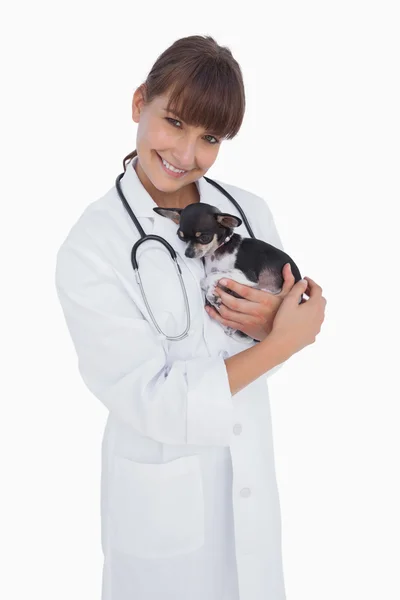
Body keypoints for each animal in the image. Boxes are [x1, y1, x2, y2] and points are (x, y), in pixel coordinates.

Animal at [154, 203, 304, 340]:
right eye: (181, 237)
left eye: (204, 237)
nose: (188, 253)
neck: (219, 250)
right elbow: (209, 281)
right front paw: (213, 295)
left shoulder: (246, 277)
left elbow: (209, 278)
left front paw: (212, 293)